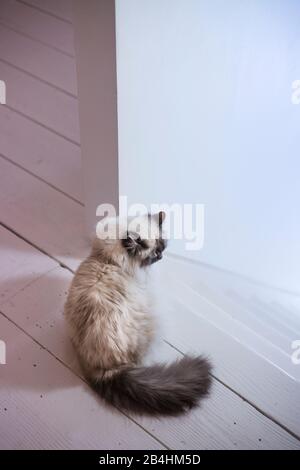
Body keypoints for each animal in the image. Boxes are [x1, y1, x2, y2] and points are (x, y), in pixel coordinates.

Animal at [64, 212, 212, 414]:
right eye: (154, 254)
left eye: (162, 247)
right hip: (156, 320)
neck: (105, 258)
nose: (161, 256)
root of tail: (105, 370)